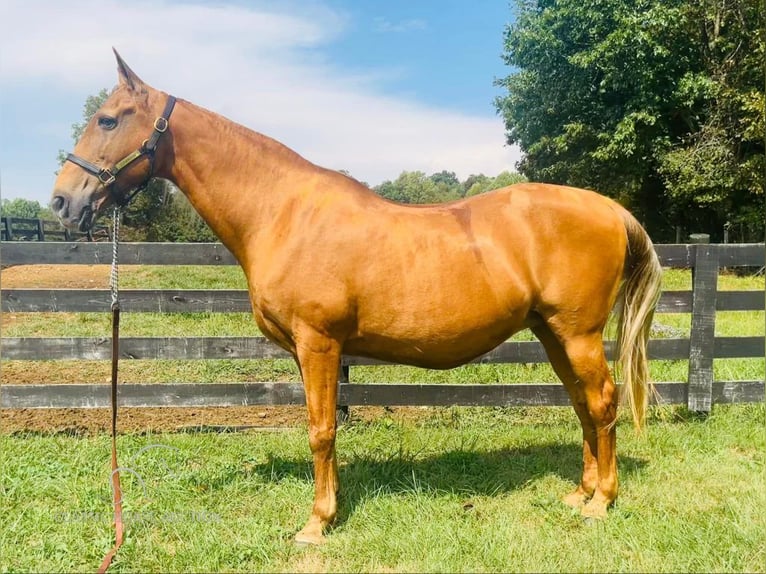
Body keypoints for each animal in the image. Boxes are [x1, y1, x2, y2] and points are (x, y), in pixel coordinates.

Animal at [54, 50, 664, 548]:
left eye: (108, 118)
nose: (63, 201)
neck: (282, 212)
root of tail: (610, 208)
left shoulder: (319, 344)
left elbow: (321, 431)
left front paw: (317, 522)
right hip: (552, 332)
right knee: (583, 404)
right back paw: (580, 492)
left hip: (577, 333)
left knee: (603, 401)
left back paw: (602, 503)